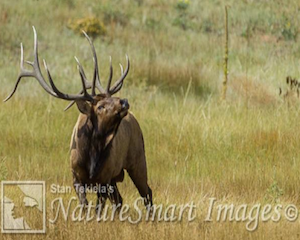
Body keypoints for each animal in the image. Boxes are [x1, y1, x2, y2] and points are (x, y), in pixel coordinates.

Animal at [4, 27, 154, 212]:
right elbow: (85, 207)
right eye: (100, 106)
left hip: (138, 159)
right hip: (118, 175)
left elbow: (97, 210)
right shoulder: (76, 176)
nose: (124, 101)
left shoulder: (104, 178)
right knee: (120, 199)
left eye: (111, 98)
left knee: (146, 192)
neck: (91, 156)